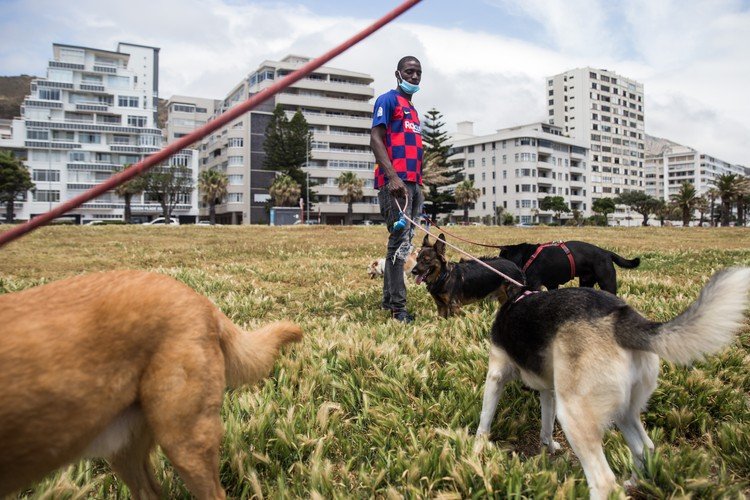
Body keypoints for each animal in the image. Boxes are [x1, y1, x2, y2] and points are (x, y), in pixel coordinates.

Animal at [476, 270, 750, 500]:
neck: (519, 295)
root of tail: (622, 319)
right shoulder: (549, 390)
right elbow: (546, 425)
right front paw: (549, 446)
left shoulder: (496, 376)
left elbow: (485, 418)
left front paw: (477, 449)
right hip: (624, 410)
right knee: (645, 448)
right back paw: (635, 482)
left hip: (574, 414)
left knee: (604, 482)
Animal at [500, 241, 640, 294]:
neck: (527, 256)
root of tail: (607, 253)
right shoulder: (552, 284)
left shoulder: (534, 284)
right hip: (586, 282)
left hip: (607, 282)